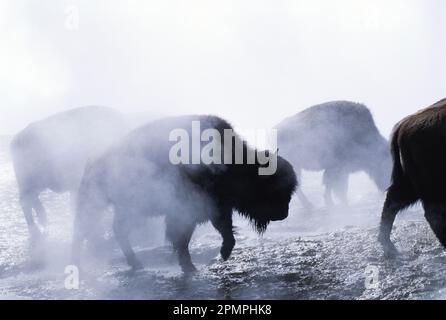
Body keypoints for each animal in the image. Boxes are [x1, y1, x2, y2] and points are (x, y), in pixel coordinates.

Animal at [9, 107, 127, 240]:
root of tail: (15, 140)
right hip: (28, 183)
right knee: (26, 202)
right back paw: (36, 228)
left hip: (35, 185)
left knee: (32, 200)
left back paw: (43, 221)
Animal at [72, 115, 296, 272]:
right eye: (273, 189)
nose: (284, 214)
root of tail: (94, 161)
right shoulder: (191, 211)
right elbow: (183, 239)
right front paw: (191, 266)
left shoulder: (214, 209)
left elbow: (222, 233)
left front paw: (217, 257)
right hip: (97, 206)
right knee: (83, 233)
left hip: (128, 210)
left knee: (117, 230)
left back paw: (136, 264)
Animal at [378, 98, 446, 255]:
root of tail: (404, 124)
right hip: (431, 184)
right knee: (434, 213)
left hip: (411, 183)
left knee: (393, 201)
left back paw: (389, 247)